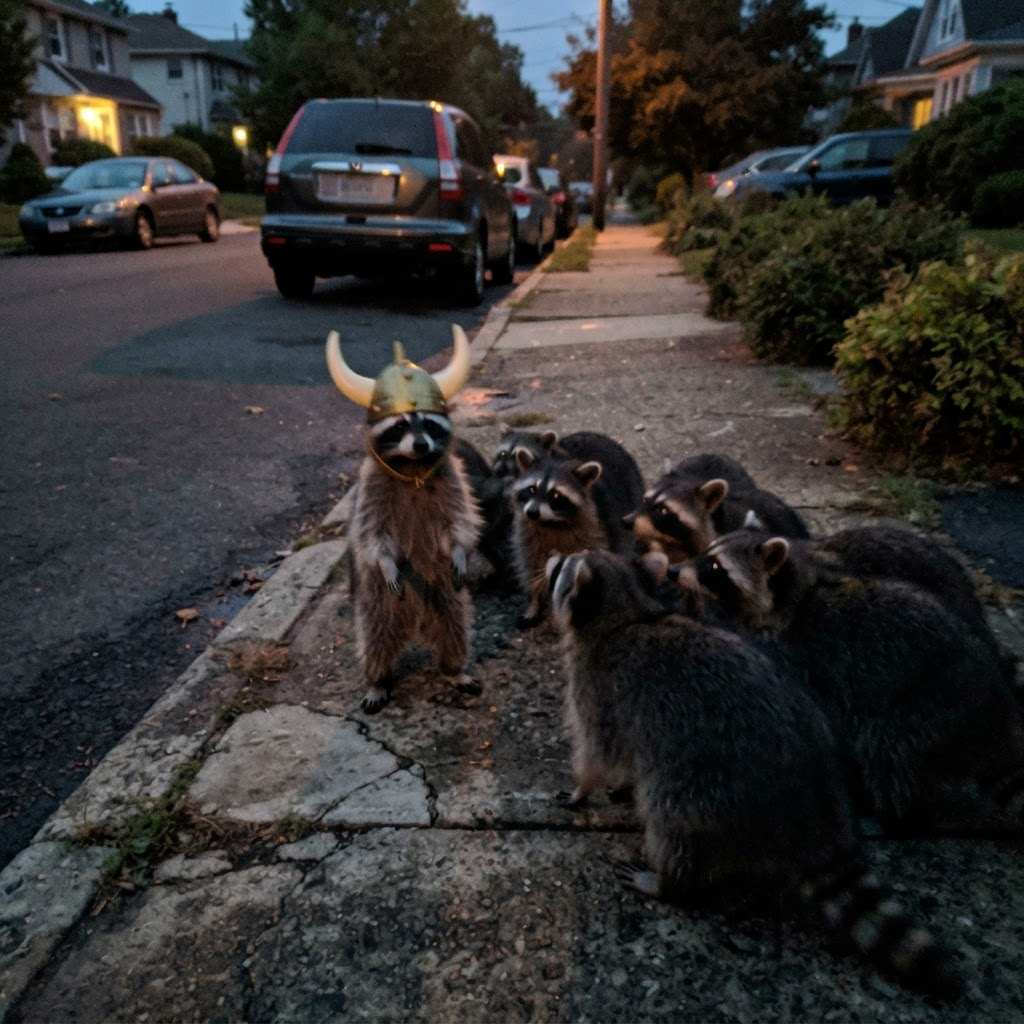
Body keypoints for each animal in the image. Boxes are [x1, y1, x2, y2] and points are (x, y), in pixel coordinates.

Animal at [511, 436, 644, 627]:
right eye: (531, 489)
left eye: (555, 495)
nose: (532, 512)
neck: (551, 523)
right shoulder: (526, 532)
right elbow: (531, 565)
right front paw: (534, 602)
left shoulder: (598, 529)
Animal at [546, 549, 962, 999]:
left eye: (562, 568)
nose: (552, 556)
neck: (625, 611)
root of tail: (811, 798)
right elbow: (623, 754)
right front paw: (620, 784)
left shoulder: (596, 687)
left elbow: (596, 752)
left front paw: (581, 790)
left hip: (706, 783)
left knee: (672, 823)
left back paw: (670, 882)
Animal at [696, 529, 1024, 832]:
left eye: (715, 566)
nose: (686, 566)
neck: (794, 595)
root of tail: (998, 708)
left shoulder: (802, 658)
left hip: (924, 707)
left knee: (890, 752)